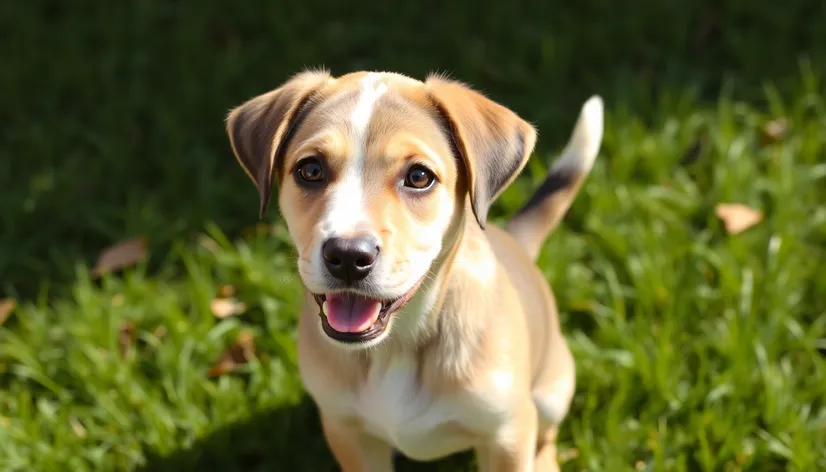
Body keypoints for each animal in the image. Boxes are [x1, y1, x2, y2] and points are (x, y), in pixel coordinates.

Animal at [222, 70, 600, 472]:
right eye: (310, 170)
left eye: (419, 177)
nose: (348, 256)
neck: (397, 346)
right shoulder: (348, 433)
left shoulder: (506, 434)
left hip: (550, 397)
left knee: (545, 438)